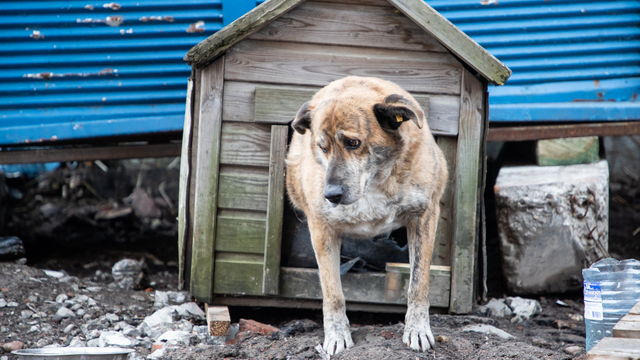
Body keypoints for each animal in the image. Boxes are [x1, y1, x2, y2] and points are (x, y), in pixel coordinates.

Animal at [286, 75, 450, 354]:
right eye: (323, 148)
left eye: (353, 143)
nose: (330, 195)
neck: (373, 182)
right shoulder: (321, 229)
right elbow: (332, 292)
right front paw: (337, 335)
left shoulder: (424, 218)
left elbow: (418, 284)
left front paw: (417, 329)